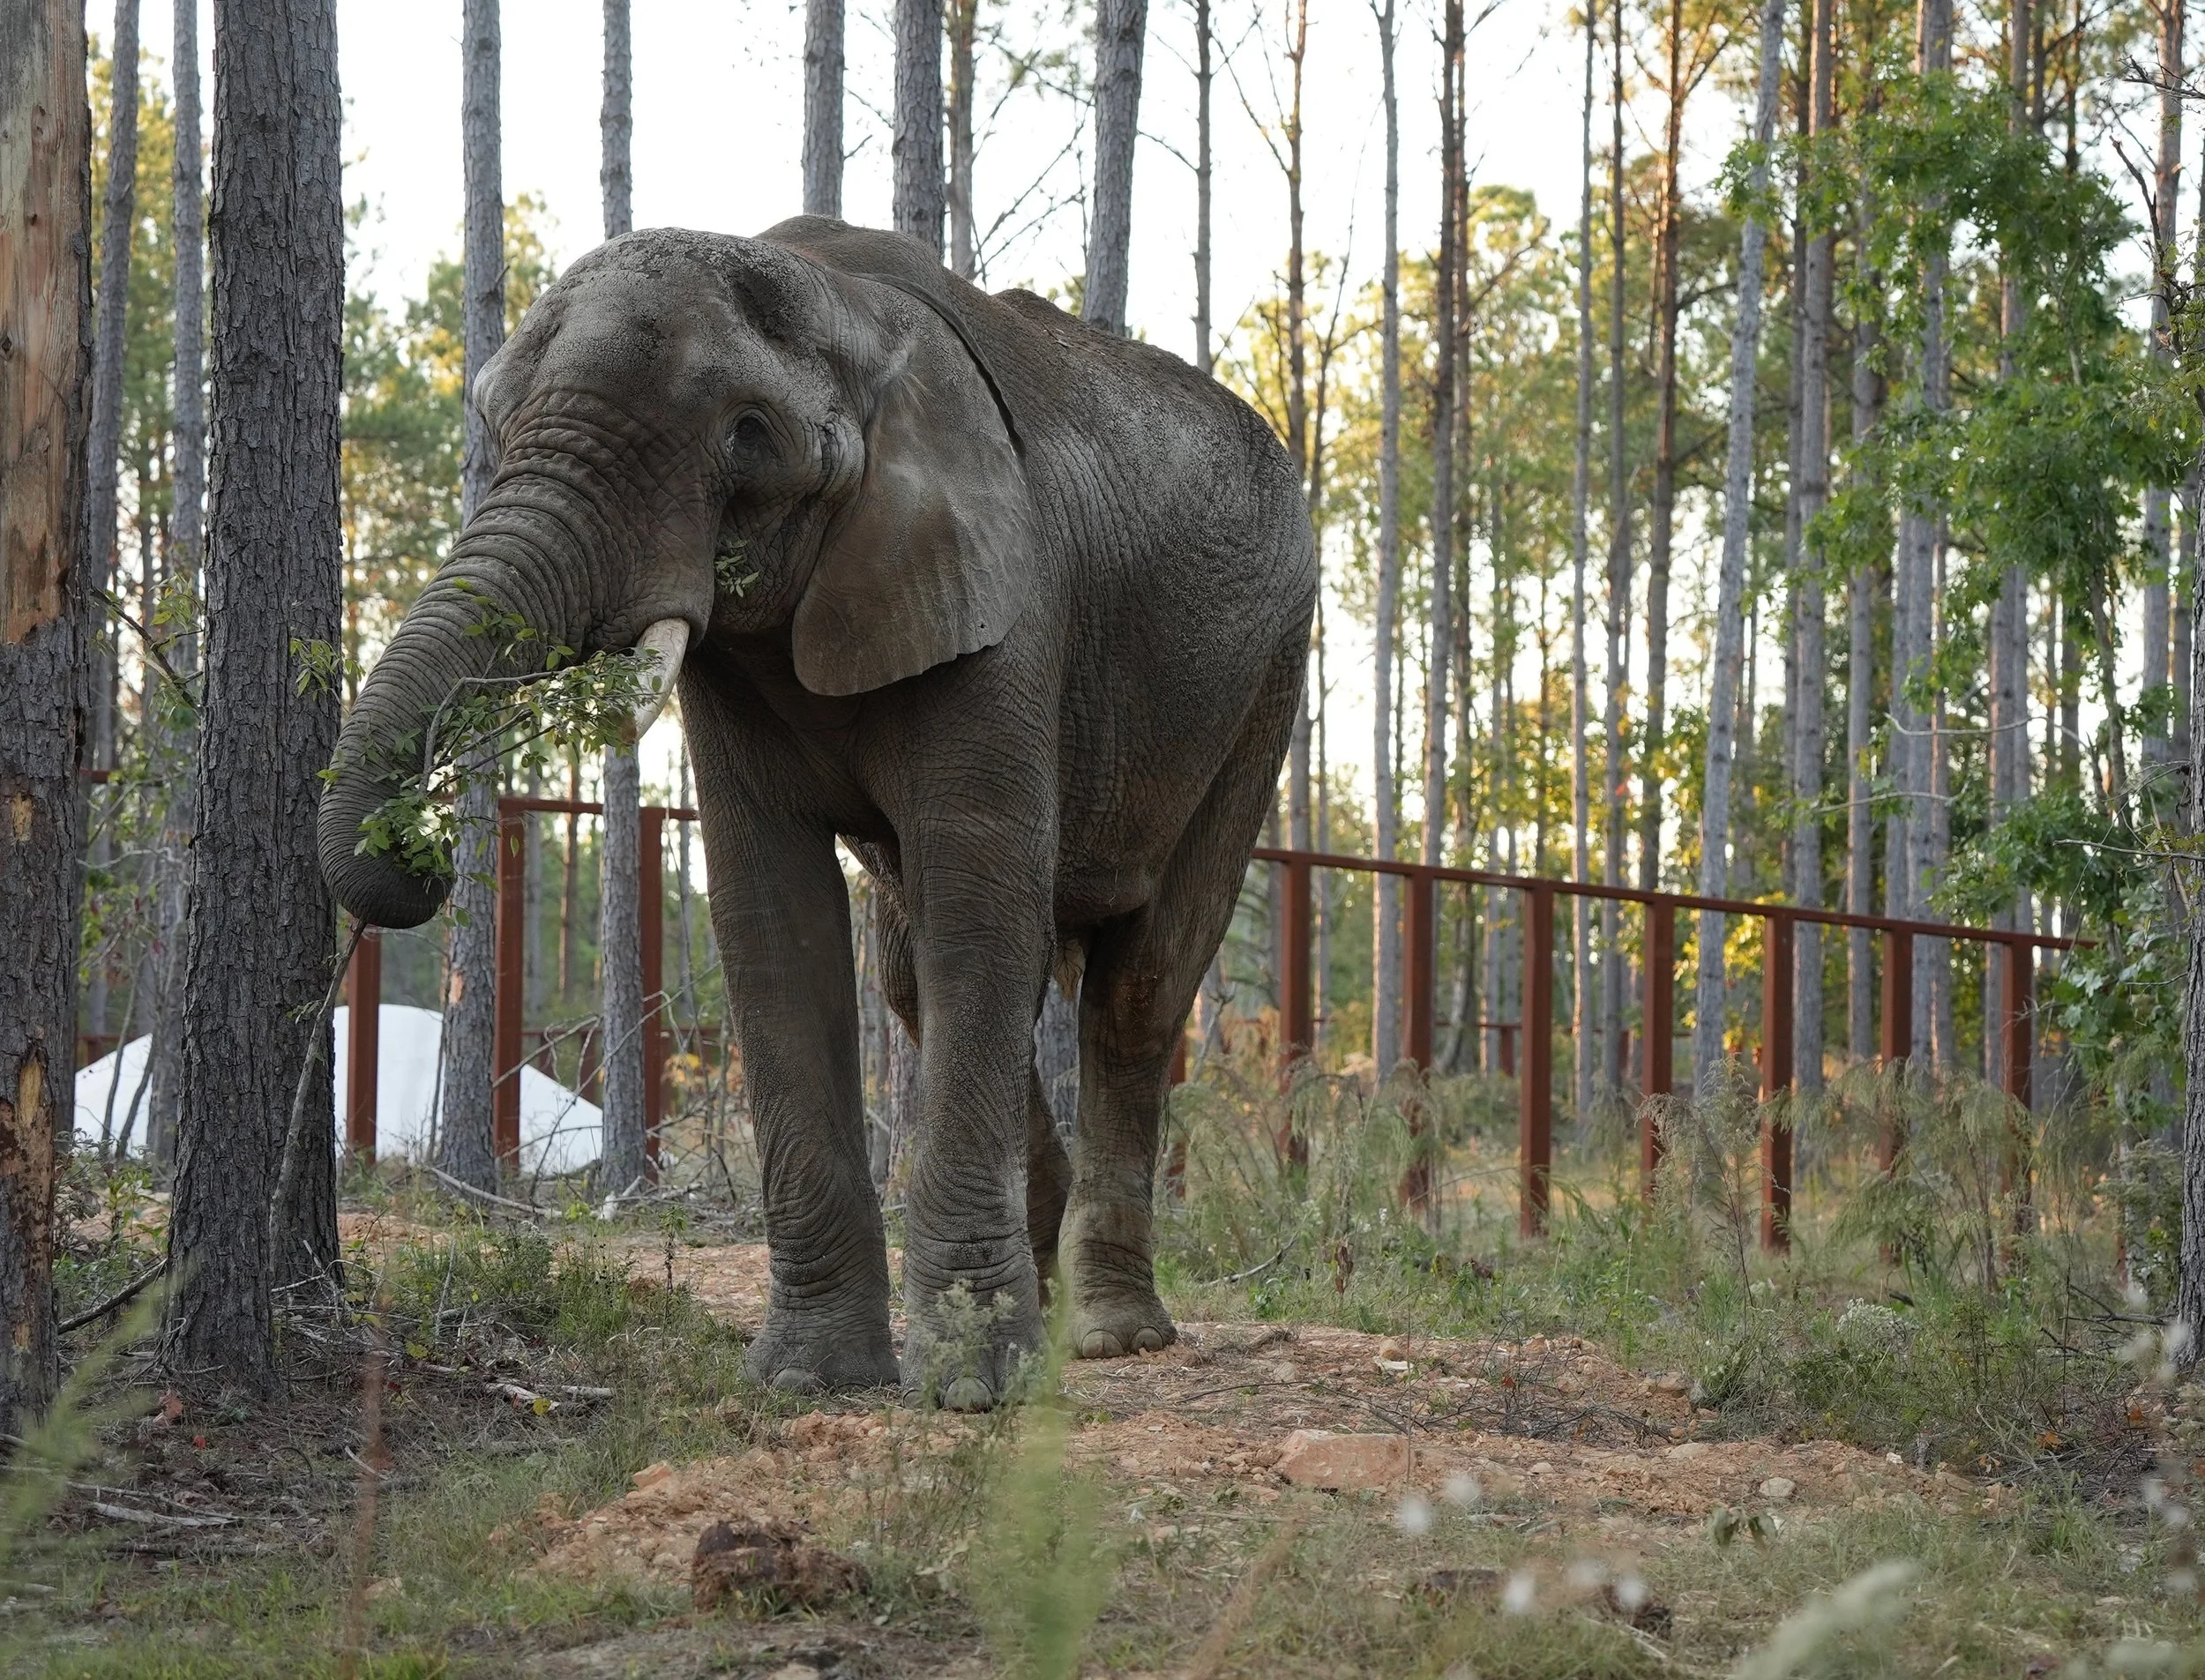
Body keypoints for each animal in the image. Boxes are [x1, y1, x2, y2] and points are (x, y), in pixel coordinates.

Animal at [318, 218, 1316, 1408]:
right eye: (496, 424)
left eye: (748, 440)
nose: (416, 860)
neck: (845, 310)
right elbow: (771, 916)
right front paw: (812, 1379)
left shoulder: (1006, 595)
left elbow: (979, 902)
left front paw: (972, 1389)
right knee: (913, 975)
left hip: (1266, 677)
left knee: (1136, 988)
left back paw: (1110, 1335)